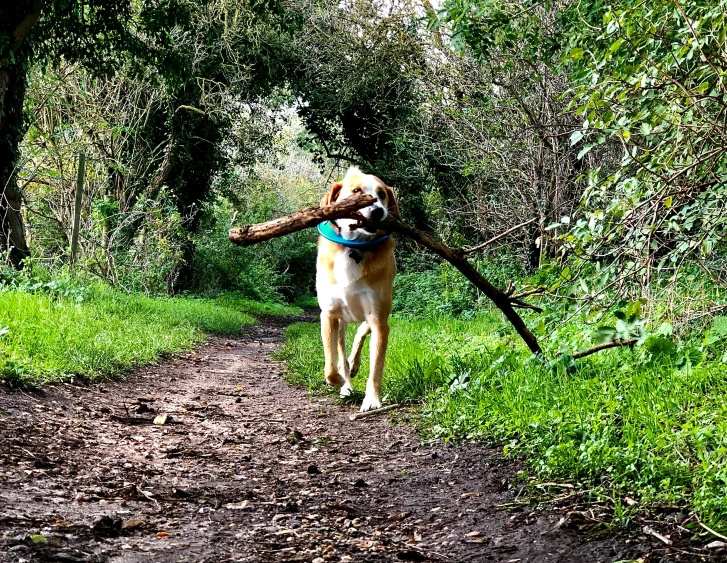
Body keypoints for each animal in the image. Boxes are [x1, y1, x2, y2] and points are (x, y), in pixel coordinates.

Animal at [318, 165, 398, 412]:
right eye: (356, 192)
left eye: (382, 194)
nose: (377, 211)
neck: (354, 248)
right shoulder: (329, 315)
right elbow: (331, 364)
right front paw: (339, 381)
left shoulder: (378, 318)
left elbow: (376, 367)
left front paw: (372, 400)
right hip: (342, 321)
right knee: (342, 349)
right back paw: (346, 380)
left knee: (362, 331)